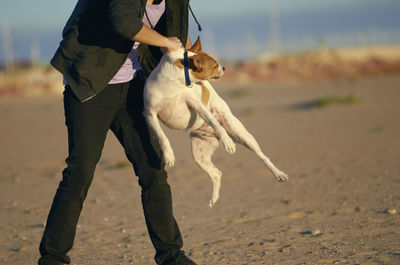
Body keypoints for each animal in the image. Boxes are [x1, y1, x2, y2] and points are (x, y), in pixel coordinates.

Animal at [144, 37, 288, 206]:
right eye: (214, 65)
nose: (224, 67)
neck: (174, 85)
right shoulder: (150, 114)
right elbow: (162, 137)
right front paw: (169, 155)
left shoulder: (198, 105)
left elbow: (215, 122)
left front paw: (227, 142)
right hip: (199, 155)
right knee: (216, 173)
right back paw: (214, 198)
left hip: (242, 135)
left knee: (263, 157)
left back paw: (278, 174)